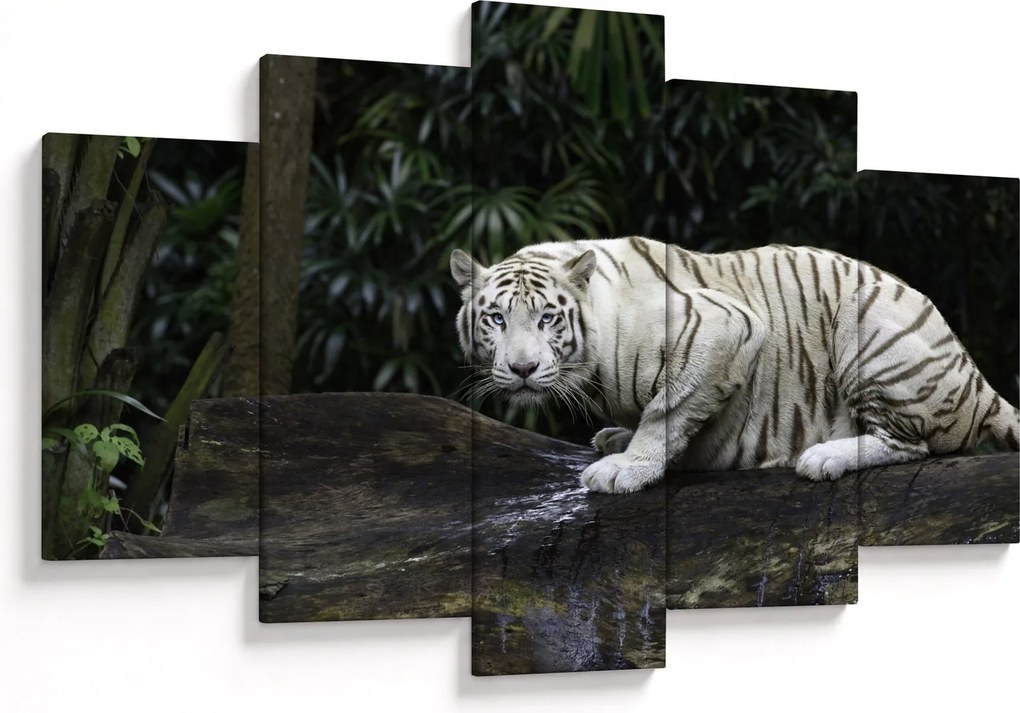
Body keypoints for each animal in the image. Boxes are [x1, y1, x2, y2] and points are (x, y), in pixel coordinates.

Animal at [450, 236, 1020, 494]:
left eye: (547, 318)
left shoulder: (726, 326)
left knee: (913, 444)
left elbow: (666, 410)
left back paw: (823, 457)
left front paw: (627, 468)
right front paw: (619, 440)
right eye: (496, 318)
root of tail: (976, 380)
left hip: (869, 322)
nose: (522, 369)